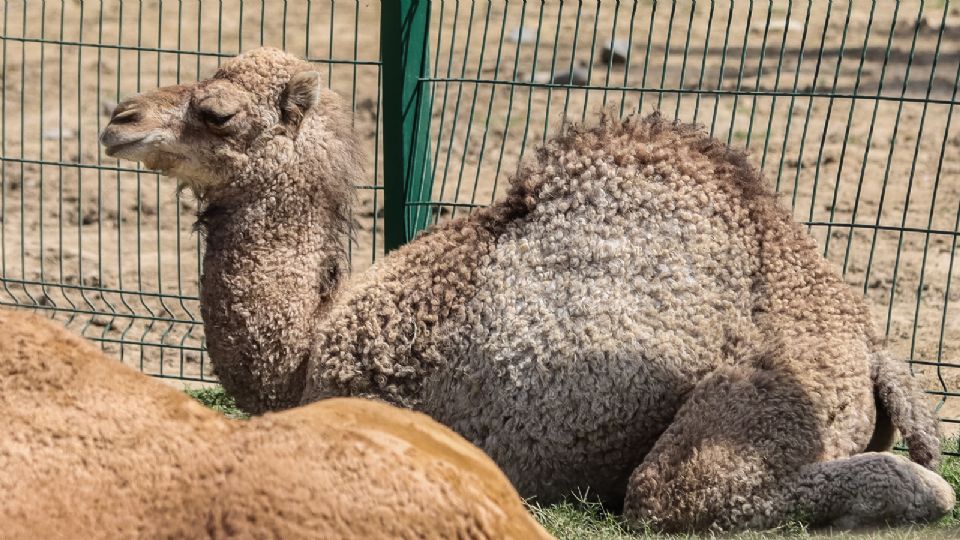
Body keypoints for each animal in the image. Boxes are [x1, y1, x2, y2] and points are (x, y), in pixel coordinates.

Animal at [101, 47, 956, 532]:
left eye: (216, 112)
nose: (119, 118)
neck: (309, 349)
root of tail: (866, 351)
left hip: (762, 397)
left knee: (677, 496)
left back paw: (911, 489)